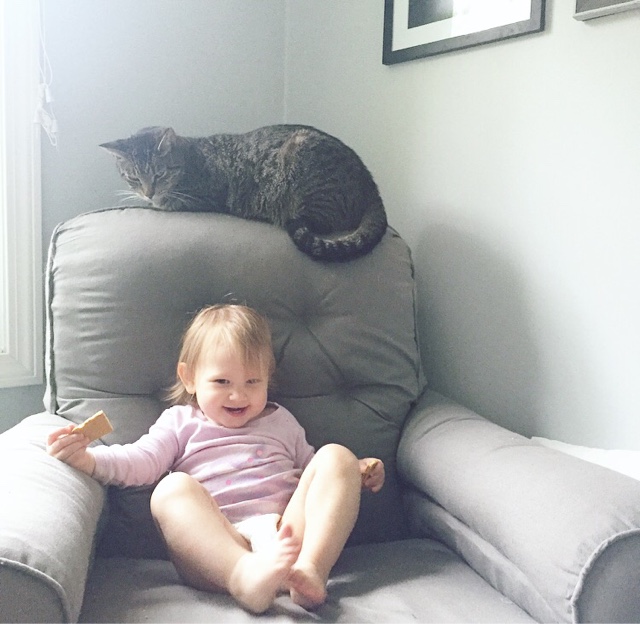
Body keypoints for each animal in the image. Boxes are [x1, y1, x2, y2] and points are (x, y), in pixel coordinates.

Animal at [100, 125, 388, 262]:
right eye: (133, 177)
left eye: (159, 174)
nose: (148, 193)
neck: (191, 158)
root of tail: (371, 185)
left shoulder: (202, 197)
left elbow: (167, 203)